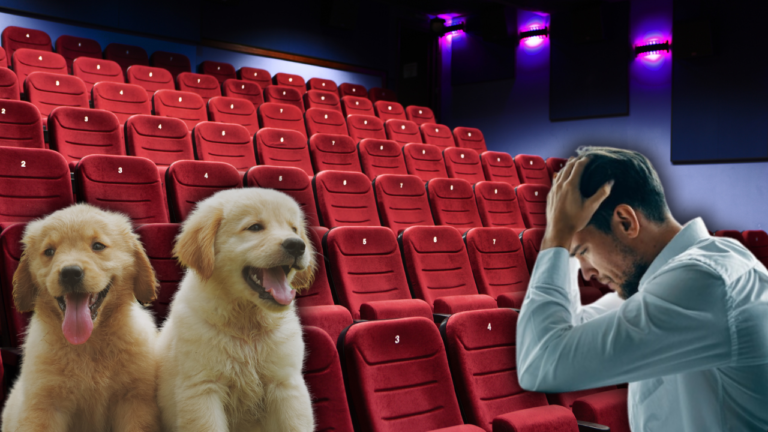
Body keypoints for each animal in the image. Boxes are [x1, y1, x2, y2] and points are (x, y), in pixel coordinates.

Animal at [2, 203, 162, 432]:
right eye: (49, 251)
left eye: (98, 246)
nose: (70, 273)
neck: (88, 345)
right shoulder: (43, 407)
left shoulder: (135, 403)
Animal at [158, 189, 316, 432]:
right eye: (255, 227)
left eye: (294, 229)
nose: (297, 245)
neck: (246, 322)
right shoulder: (202, 388)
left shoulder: (286, 384)